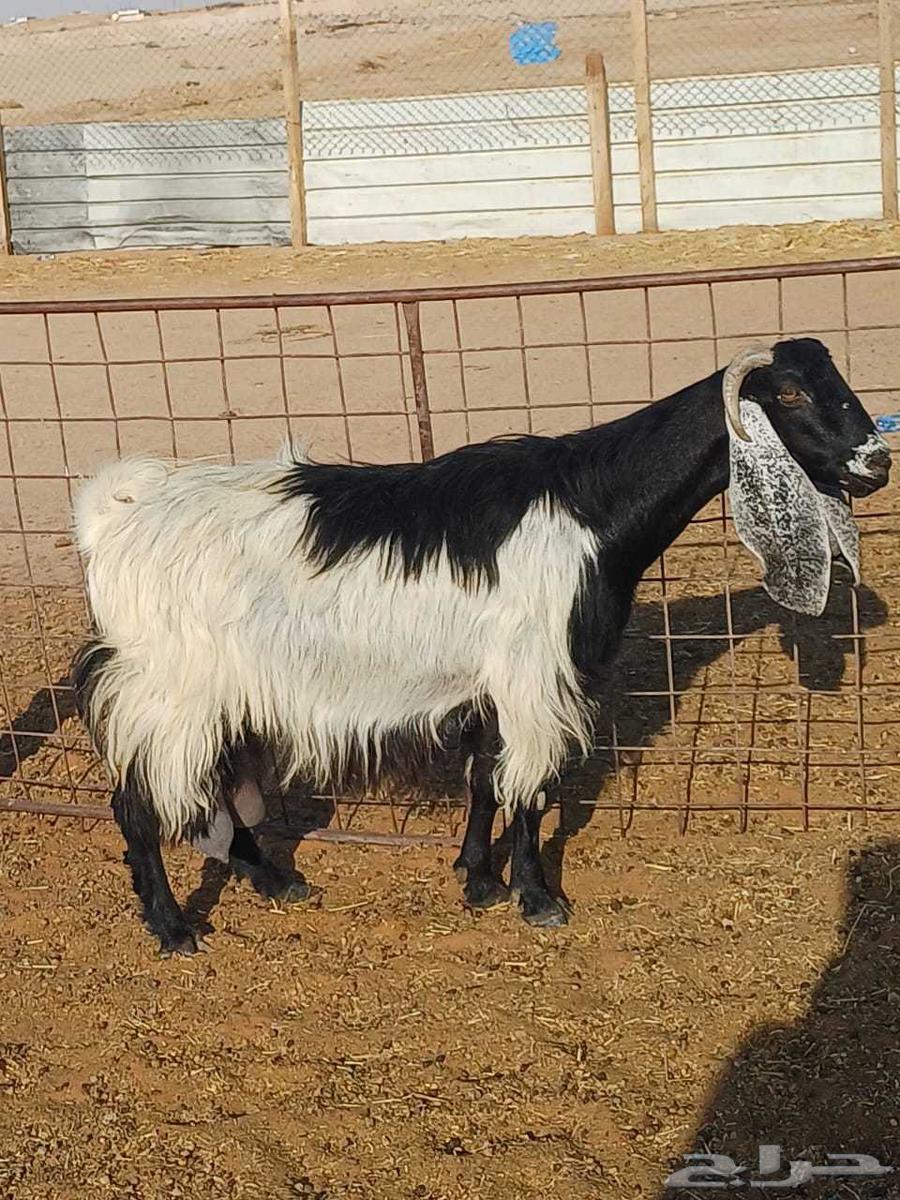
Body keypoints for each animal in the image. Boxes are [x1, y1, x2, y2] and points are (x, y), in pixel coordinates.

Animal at [72, 338, 890, 955]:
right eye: (790, 396)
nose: (876, 463)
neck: (591, 508)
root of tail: (118, 513)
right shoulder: (536, 674)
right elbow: (529, 789)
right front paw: (536, 896)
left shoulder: (493, 680)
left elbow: (485, 781)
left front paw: (475, 877)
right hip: (168, 687)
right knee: (136, 802)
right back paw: (173, 928)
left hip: (216, 692)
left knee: (208, 788)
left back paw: (277, 880)